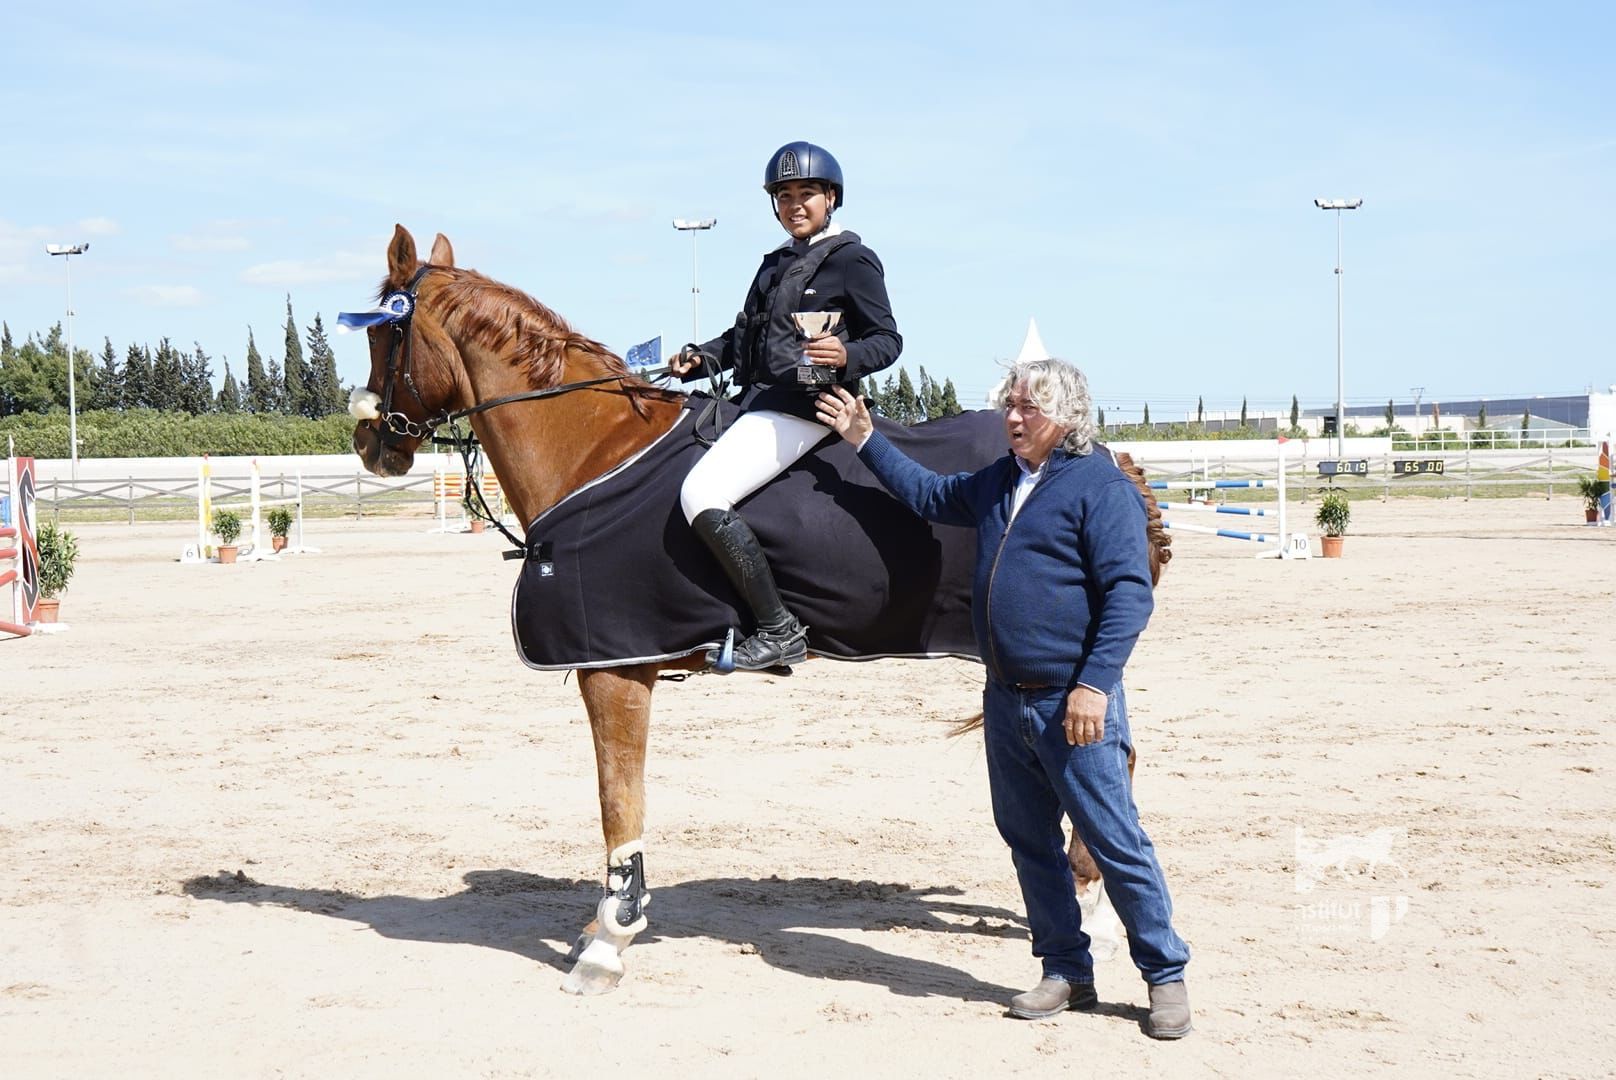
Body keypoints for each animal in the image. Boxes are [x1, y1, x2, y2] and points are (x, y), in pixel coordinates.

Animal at [347, 226, 1169, 995]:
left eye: (384, 334)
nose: (367, 441)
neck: (591, 451)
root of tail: (1114, 462)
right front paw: (598, 929)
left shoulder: (615, 668)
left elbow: (618, 798)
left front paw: (609, 941)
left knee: (1104, 765)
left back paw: (1095, 909)